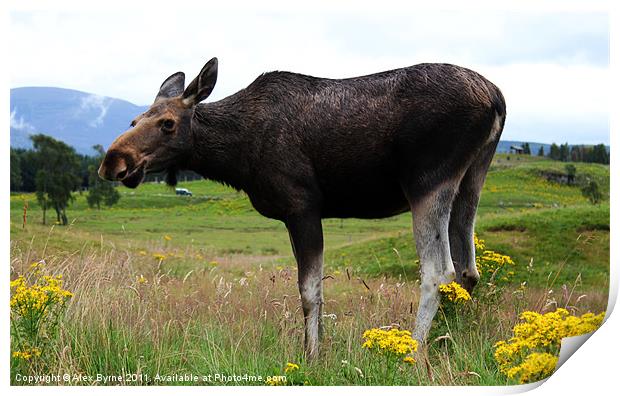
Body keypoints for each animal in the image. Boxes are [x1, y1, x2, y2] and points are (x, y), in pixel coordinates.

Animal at [97, 57, 504, 358]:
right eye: (134, 120)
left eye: (167, 123)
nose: (113, 161)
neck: (236, 156)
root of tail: (496, 97)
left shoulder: (302, 206)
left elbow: (310, 292)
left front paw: (312, 356)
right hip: (472, 179)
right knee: (468, 270)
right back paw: (450, 340)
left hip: (427, 182)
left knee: (439, 271)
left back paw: (414, 350)